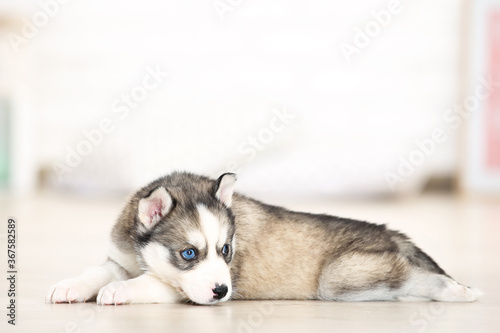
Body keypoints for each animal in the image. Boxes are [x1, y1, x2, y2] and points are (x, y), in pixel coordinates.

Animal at [46, 171, 480, 304]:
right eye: (189, 253)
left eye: (226, 250)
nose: (223, 292)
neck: (141, 255)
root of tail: (392, 233)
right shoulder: (119, 257)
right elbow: (97, 271)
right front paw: (69, 286)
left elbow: (156, 282)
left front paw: (121, 291)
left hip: (341, 278)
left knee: (417, 278)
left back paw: (456, 290)